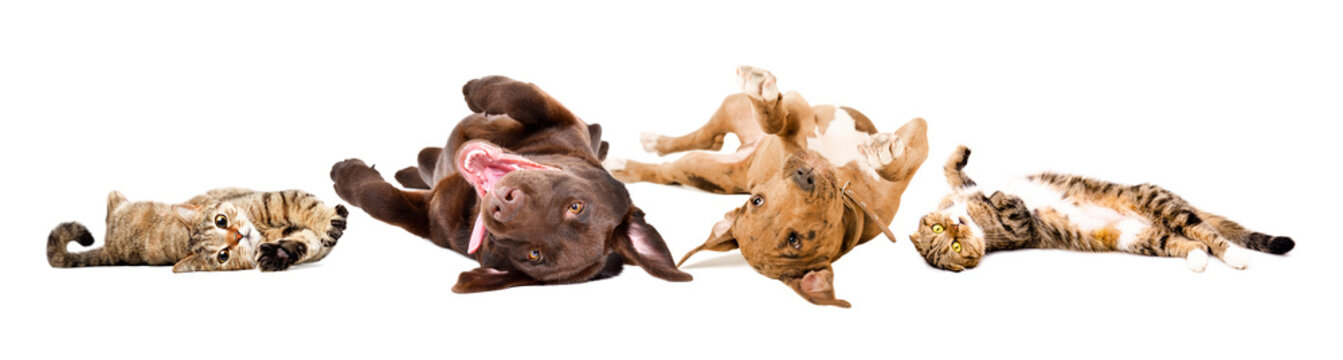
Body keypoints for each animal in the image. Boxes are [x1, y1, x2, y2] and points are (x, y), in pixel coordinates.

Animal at [49, 188, 349, 272]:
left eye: (221, 220)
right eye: (223, 255)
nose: (240, 235)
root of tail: (111, 250)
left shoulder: (273, 200)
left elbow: (305, 209)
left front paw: (327, 219)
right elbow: (307, 237)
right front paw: (278, 255)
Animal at [330, 75, 692, 292]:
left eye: (534, 254)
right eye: (576, 207)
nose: (502, 204)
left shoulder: (429, 220)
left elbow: (380, 200)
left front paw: (345, 176)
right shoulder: (563, 121)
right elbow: (523, 95)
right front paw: (475, 88)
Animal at [607, 66, 929, 307]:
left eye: (756, 200)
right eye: (795, 240)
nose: (804, 174)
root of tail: (746, 151)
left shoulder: (915, 135)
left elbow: (899, 162)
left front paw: (885, 155)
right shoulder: (797, 117)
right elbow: (778, 122)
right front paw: (765, 97)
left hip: (725, 129)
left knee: (709, 137)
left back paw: (654, 143)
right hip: (701, 158)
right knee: (675, 162)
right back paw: (632, 161)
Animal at [907, 145, 1294, 271]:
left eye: (941, 230)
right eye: (954, 246)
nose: (956, 226)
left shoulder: (964, 188)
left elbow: (952, 170)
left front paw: (963, 155)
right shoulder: (1019, 228)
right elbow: (1011, 206)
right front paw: (999, 196)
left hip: (1158, 204)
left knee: (1206, 231)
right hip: (1139, 237)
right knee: (1196, 240)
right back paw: (1211, 260)